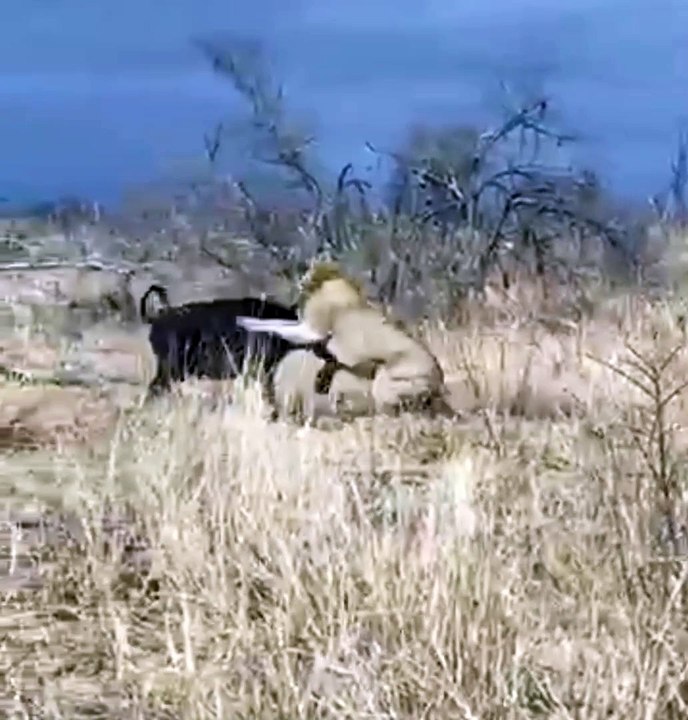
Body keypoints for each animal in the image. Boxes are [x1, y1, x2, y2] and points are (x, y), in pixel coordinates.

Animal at [237, 262, 455, 418]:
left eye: (308, 272)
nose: (300, 279)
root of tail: (440, 380)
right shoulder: (313, 334)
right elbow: (279, 323)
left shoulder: (311, 331)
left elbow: (275, 325)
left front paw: (245, 322)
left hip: (385, 382)